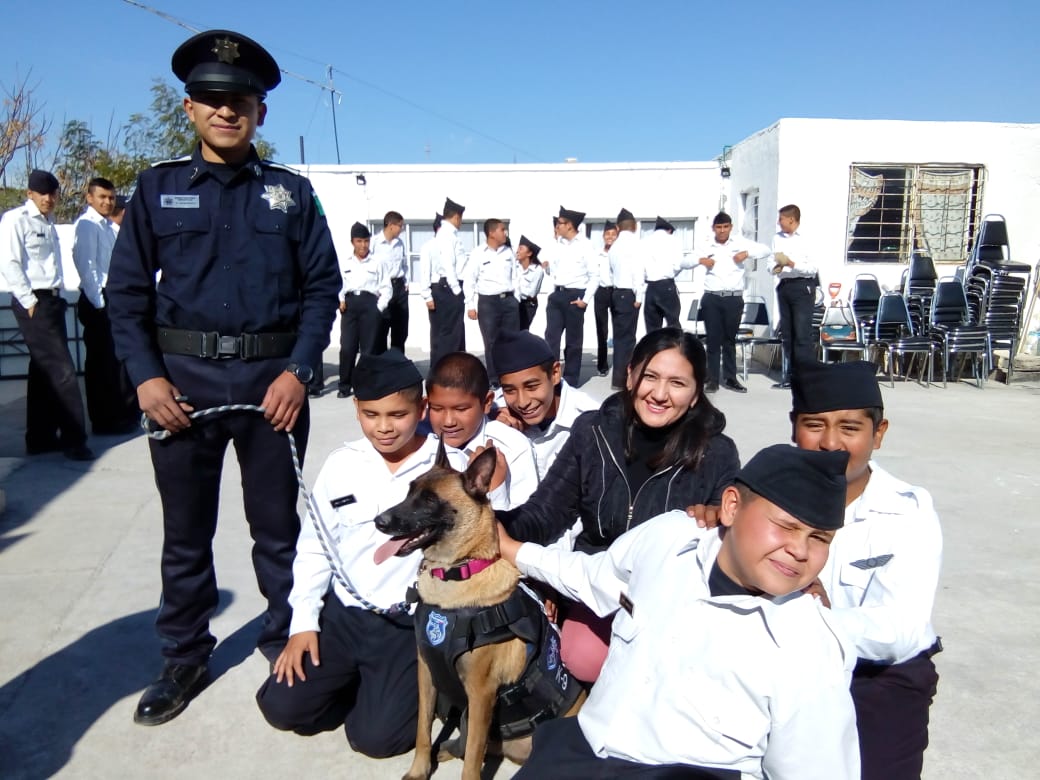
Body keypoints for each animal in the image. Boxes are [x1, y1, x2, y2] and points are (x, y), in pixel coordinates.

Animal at [376, 445, 586, 780]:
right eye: (410, 492)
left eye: (430, 500)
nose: (378, 521)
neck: (456, 572)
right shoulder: (426, 673)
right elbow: (423, 730)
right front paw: (419, 769)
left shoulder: (480, 693)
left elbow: (473, 760)